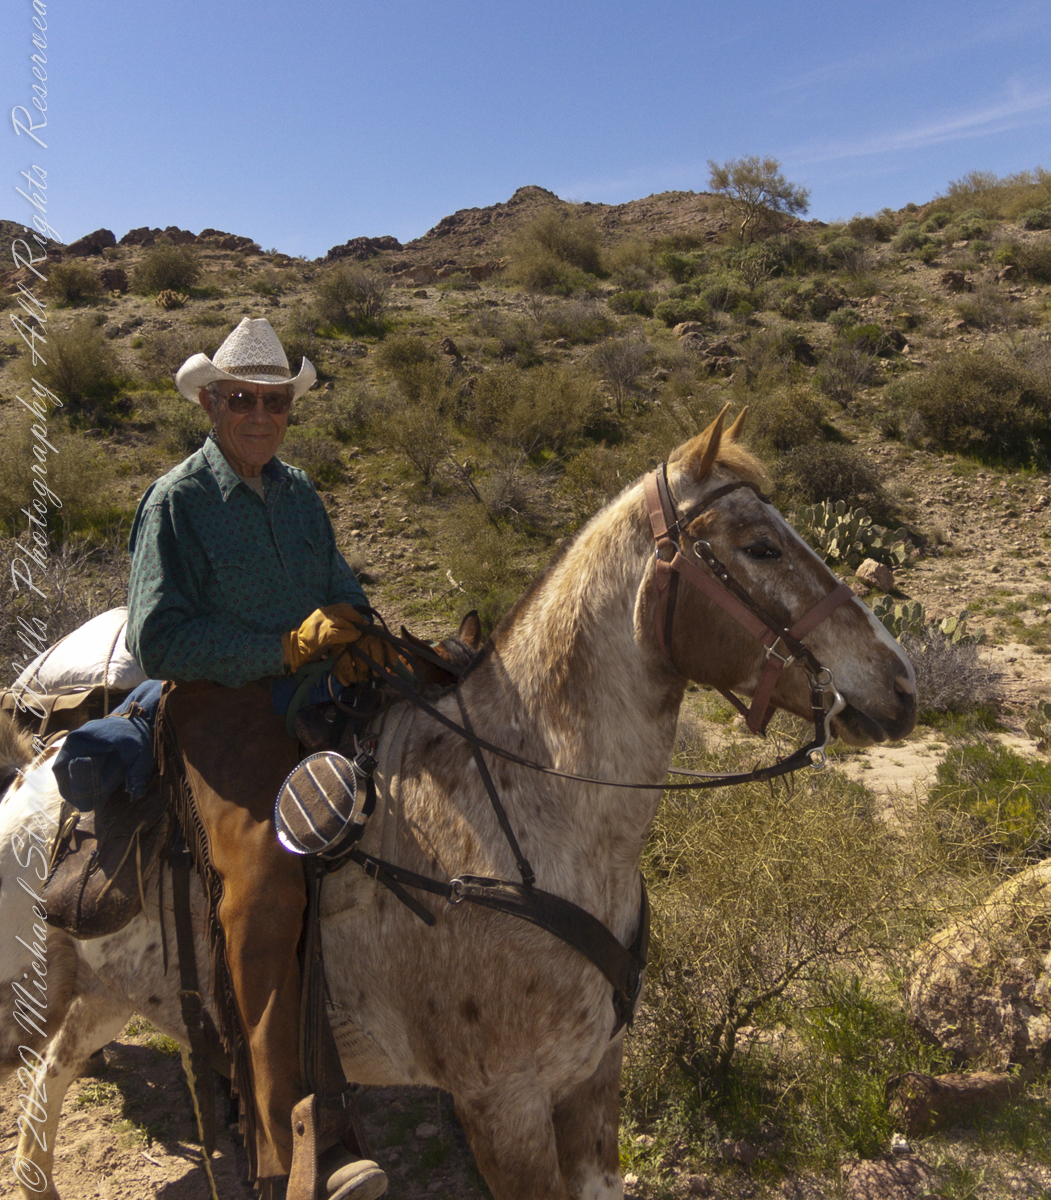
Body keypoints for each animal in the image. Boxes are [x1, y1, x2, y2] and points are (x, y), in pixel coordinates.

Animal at [0, 409, 916, 1200]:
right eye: (759, 547)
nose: (901, 681)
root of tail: (37, 772)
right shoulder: (500, 1107)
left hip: (107, 992)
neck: (534, 821)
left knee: (54, 1068)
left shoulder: (594, 1077)